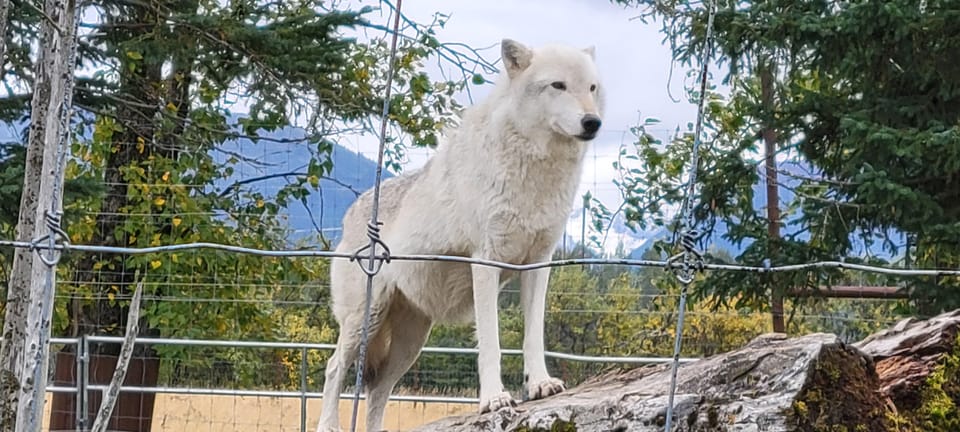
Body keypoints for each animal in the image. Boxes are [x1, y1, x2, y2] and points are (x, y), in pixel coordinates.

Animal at [316, 38, 600, 430]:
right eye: (558, 85)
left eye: (592, 88)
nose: (593, 122)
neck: (536, 173)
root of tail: (351, 210)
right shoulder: (485, 261)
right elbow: (491, 343)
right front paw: (494, 399)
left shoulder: (538, 265)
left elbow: (534, 337)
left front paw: (540, 384)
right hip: (365, 320)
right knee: (334, 369)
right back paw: (327, 423)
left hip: (410, 344)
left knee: (377, 389)